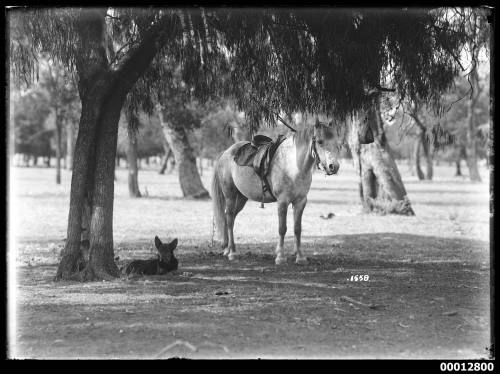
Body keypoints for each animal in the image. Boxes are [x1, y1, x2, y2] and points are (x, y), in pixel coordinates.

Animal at [211, 120, 348, 266]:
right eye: (320, 141)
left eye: (337, 143)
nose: (334, 167)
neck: (294, 165)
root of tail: (226, 153)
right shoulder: (282, 201)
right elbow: (282, 228)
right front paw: (280, 257)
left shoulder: (300, 202)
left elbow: (297, 229)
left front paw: (300, 257)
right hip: (230, 195)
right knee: (230, 219)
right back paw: (232, 253)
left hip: (242, 198)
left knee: (228, 217)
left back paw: (227, 249)